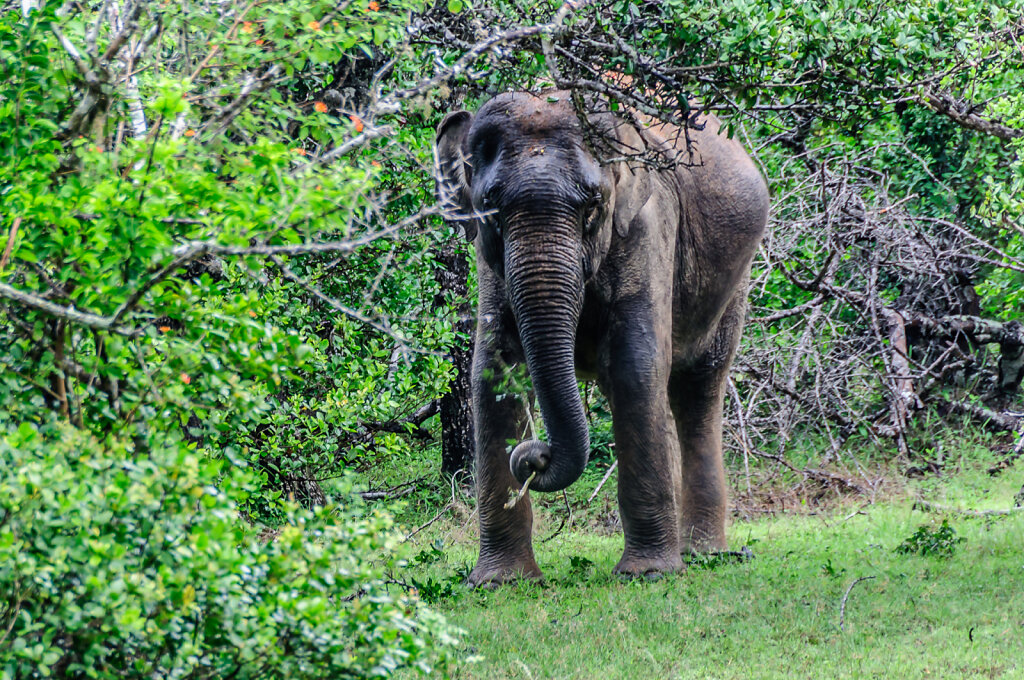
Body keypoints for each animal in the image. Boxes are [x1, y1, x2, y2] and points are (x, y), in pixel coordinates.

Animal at [434, 91, 769, 586]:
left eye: (591, 204)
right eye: (491, 207)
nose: (533, 457)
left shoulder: (648, 228)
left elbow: (634, 368)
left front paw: (647, 575)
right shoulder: (488, 261)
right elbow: (494, 374)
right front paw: (501, 582)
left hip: (735, 281)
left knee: (698, 387)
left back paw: (702, 553)